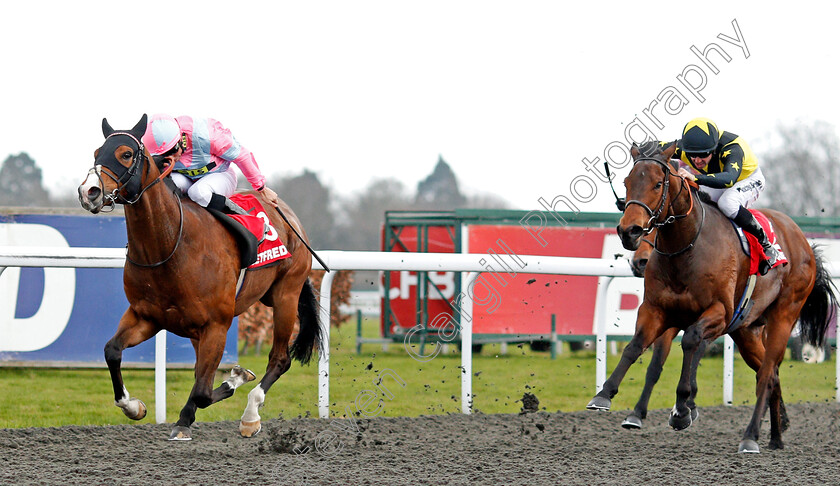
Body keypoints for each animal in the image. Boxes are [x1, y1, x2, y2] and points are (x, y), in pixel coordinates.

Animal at [79, 115, 322, 440]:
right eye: (96, 153)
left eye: (126, 154)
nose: (88, 192)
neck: (171, 245)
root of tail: (290, 218)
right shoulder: (146, 317)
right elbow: (112, 351)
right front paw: (134, 406)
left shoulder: (217, 324)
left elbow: (206, 391)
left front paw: (231, 382)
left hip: (286, 295)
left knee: (279, 359)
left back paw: (250, 416)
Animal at [588, 140, 836, 452]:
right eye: (627, 182)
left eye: (657, 184)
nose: (628, 231)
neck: (686, 247)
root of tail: (802, 240)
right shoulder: (656, 309)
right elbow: (636, 348)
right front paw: (605, 395)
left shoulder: (718, 313)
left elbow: (691, 343)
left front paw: (682, 409)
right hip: (747, 331)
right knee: (769, 373)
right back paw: (776, 437)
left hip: (784, 314)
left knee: (767, 374)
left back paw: (751, 436)